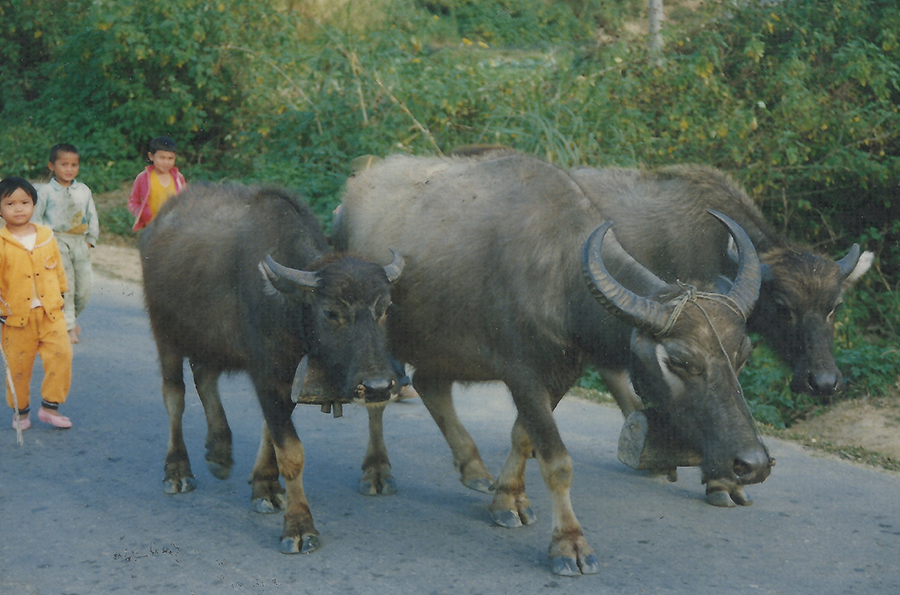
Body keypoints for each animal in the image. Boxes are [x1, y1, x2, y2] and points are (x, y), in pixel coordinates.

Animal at [140, 184, 404, 556]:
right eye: (331, 312)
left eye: (385, 308)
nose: (379, 386)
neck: (288, 308)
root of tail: (156, 228)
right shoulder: (266, 374)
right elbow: (291, 452)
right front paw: (299, 526)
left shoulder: (287, 376)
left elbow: (270, 431)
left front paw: (265, 487)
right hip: (165, 334)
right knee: (174, 397)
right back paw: (178, 470)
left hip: (211, 341)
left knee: (204, 376)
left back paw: (219, 452)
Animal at [334, 151, 768, 576]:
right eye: (678, 359)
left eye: (743, 354)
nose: (753, 463)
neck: (560, 276)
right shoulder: (522, 374)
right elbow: (557, 461)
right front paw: (569, 544)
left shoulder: (560, 376)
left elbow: (523, 437)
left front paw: (508, 500)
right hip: (378, 341)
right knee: (379, 396)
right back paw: (377, 471)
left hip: (441, 344)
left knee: (429, 384)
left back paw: (474, 470)